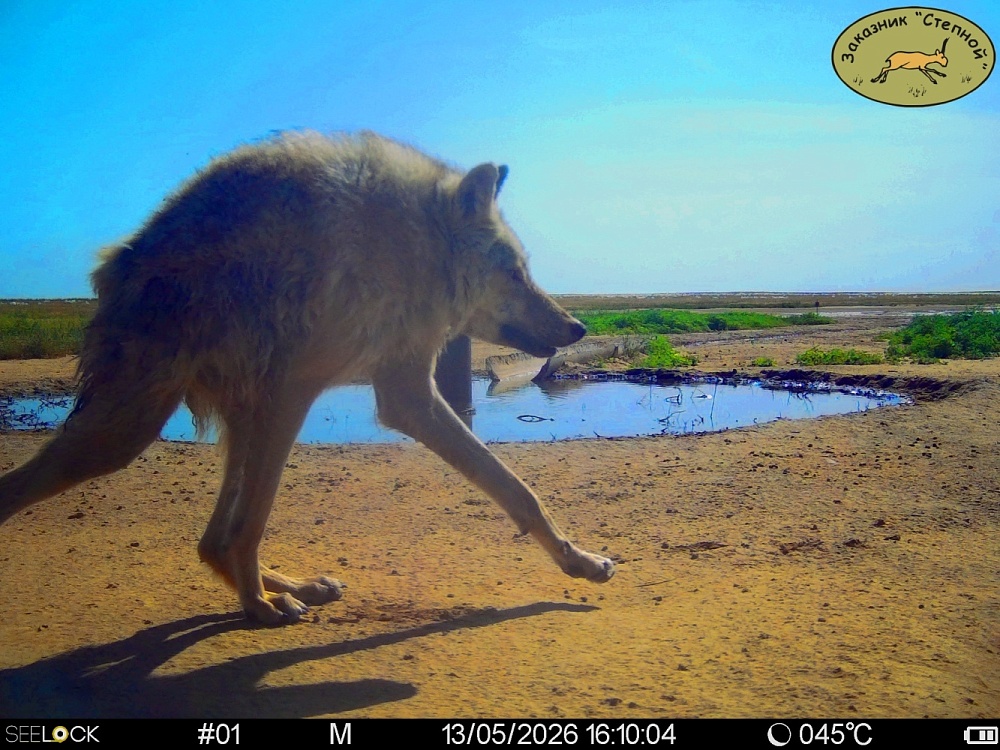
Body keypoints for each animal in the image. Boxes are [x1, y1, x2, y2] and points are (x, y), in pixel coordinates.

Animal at [0, 131, 615, 625]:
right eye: (513, 271)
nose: (579, 327)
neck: (411, 245)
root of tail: (113, 266)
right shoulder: (351, 395)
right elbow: (513, 486)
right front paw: (256, 609)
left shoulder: (400, 390)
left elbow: (518, 490)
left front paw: (580, 562)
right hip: (134, 432)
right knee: (224, 531)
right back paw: (267, 599)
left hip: (239, 416)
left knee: (213, 541)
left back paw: (295, 587)